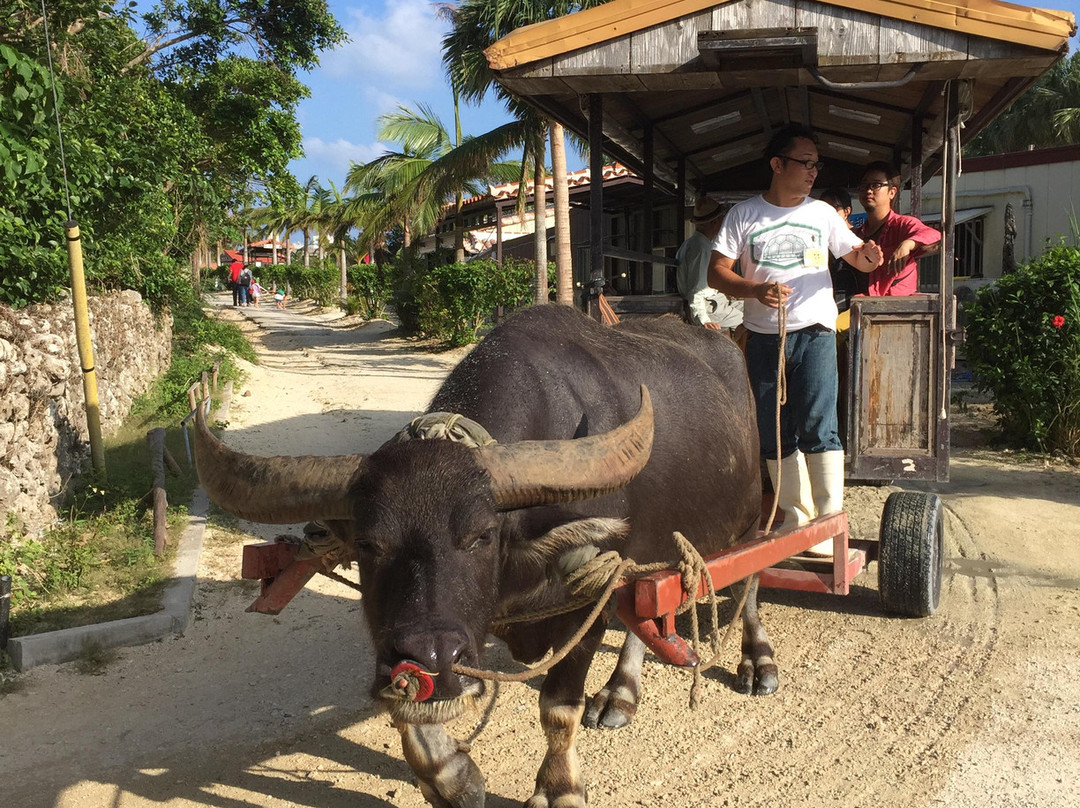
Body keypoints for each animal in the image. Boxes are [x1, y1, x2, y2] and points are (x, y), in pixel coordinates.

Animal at [192, 304, 768, 808]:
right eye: (368, 545)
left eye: (482, 536)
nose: (432, 660)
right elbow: (407, 710)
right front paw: (453, 778)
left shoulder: (586, 599)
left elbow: (558, 707)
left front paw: (559, 789)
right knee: (646, 606)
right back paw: (620, 694)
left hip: (753, 514)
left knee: (751, 581)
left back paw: (757, 662)